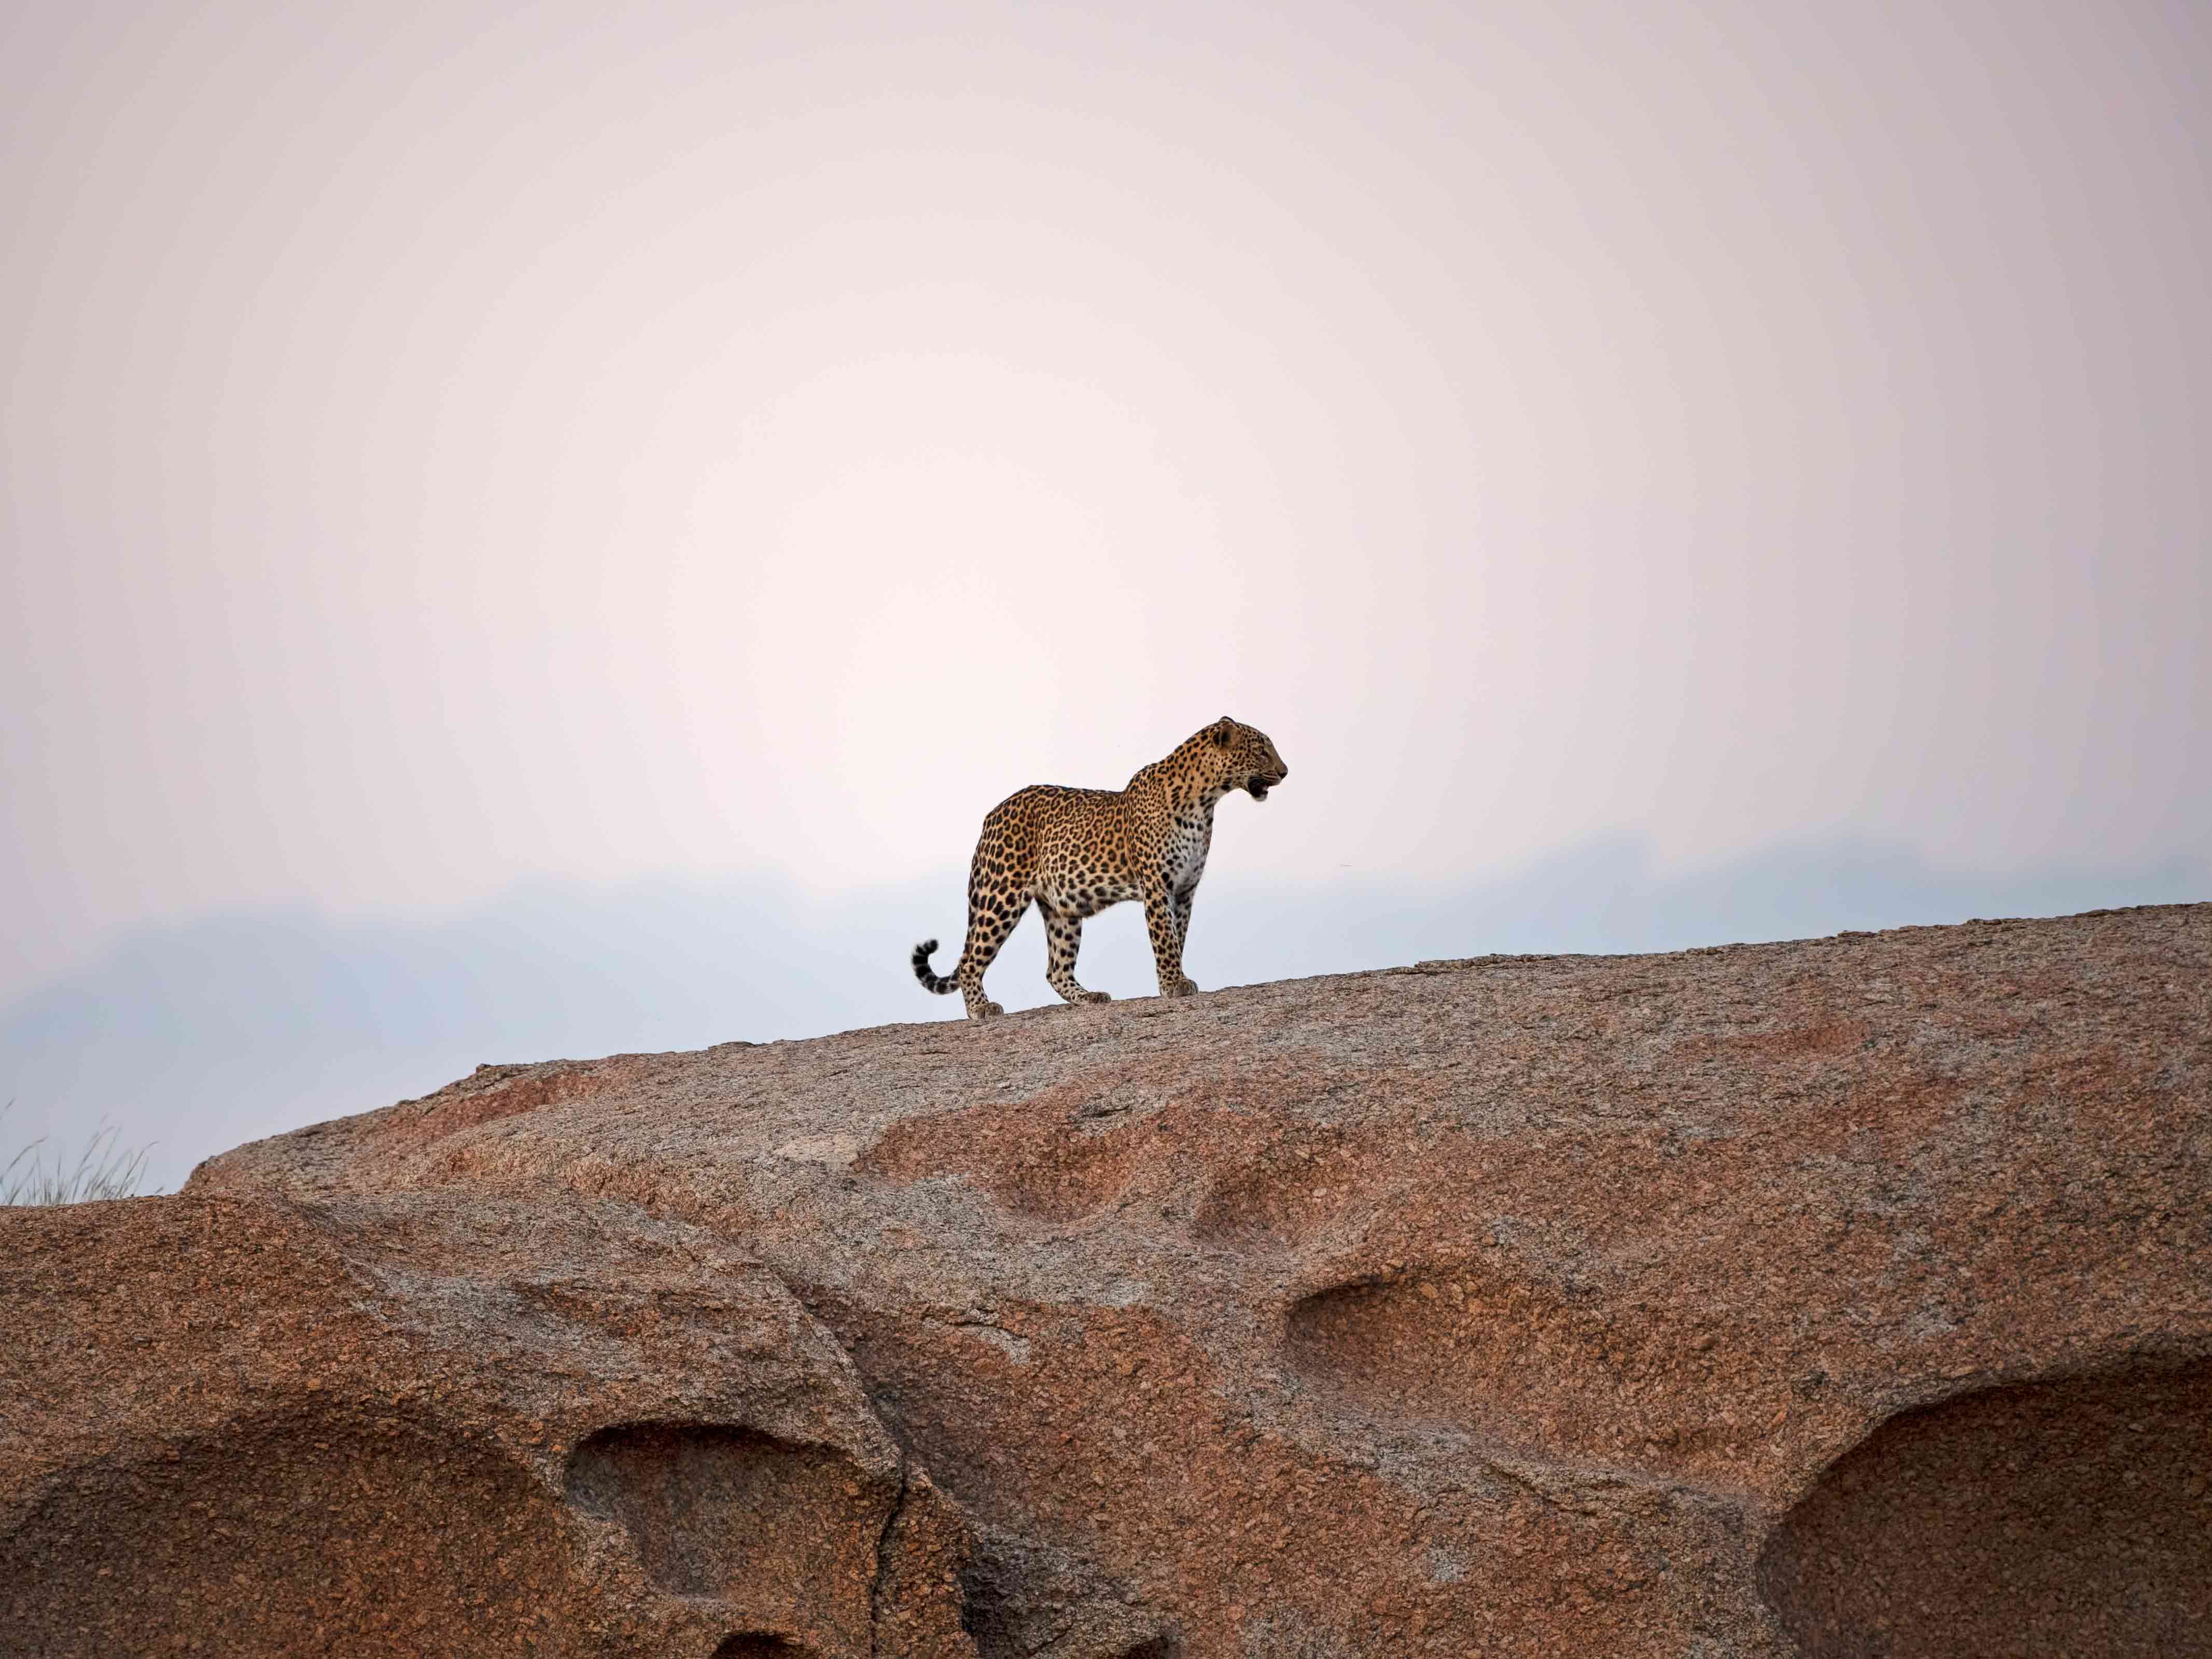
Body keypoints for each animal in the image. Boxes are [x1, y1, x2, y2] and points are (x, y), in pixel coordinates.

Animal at [912, 716, 1289, 1019]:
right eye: (1262, 751)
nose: (1285, 772)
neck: (1205, 800)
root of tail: (991, 816)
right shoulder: (1158, 886)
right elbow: (1165, 938)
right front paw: (1173, 984)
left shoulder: (1185, 890)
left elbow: (1178, 936)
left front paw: (1177, 978)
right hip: (999, 895)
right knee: (971, 959)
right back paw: (981, 1008)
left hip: (1062, 909)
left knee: (1056, 970)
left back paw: (1090, 997)